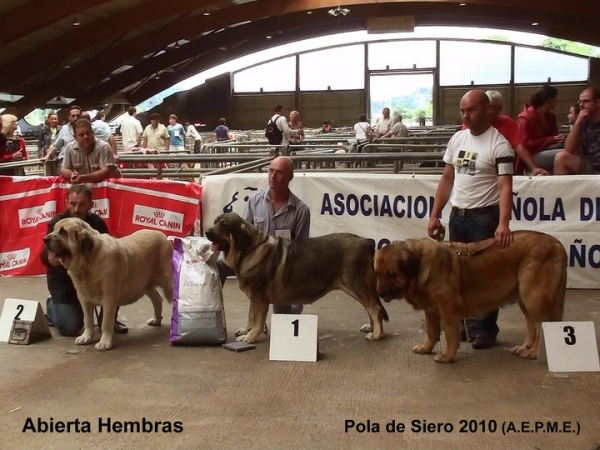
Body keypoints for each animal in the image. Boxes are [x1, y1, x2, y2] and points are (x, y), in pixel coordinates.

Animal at [41, 218, 173, 352]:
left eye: (63, 232)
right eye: (54, 229)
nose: (45, 239)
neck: (89, 261)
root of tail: (163, 236)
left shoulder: (109, 300)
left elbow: (105, 323)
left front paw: (104, 342)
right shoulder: (84, 299)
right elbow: (88, 321)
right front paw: (86, 337)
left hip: (168, 283)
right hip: (144, 284)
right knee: (157, 299)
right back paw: (156, 320)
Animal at [205, 213, 390, 342]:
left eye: (224, 224)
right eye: (215, 222)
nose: (206, 231)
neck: (249, 249)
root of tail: (367, 243)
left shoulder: (260, 298)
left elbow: (257, 320)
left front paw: (250, 337)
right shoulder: (254, 298)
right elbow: (251, 316)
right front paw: (246, 330)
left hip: (356, 284)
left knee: (374, 308)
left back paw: (377, 334)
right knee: (370, 308)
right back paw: (371, 328)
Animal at [376, 230, 568, 364]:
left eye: (391, 274)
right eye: (377, 273)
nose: (379, 292)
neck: (418, 266)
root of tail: (558, 244)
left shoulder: (448, 309)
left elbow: (451, 335)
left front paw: (447, 355)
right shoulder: (431, 310)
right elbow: (432, 331)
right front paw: (426, 347)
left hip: (533, 298)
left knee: (541, 326)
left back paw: (534, 352)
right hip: (524, 299)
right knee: (531, 325)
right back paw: (524, 347)